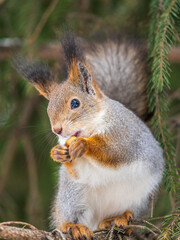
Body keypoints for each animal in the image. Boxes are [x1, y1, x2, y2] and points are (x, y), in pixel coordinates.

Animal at [12, 32, 165, 240]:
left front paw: (84, 145)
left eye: (75, 103)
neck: (92, 128)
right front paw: (57, 153)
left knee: (128, 213)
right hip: (73, 196)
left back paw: (122, 219)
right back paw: (73, 226)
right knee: (69, 217)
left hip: (141, 197)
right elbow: (80, 172)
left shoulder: (125, 136)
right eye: (48, 109)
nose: (57, 130)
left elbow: (115, 153)